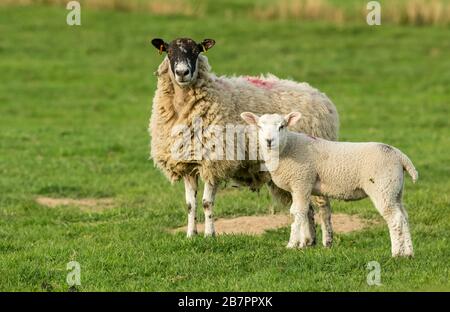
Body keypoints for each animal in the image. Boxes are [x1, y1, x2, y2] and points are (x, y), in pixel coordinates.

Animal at [149, 37, 340, 244]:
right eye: (169, 52)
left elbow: (207, 203)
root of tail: (321, 97)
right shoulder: (188, 165)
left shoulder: (214, 161)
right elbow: (190, 204)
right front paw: (191, 235)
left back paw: (326, 242)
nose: (182, 72)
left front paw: (209, 235)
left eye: (196, 51)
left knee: (323, 205)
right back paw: (308, 241)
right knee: (306, 208)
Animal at [243, 111, 418, 258]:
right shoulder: (298, 186)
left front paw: (292, 245)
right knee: (404, 216)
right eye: (259, 127)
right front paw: (302, 243)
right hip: (395, 189)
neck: (287, 148)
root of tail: (400, 156)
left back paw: (396, 253)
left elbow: (298, 212)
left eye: (282, 126)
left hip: (382, 187)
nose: (269, 141)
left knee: (395, 218)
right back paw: (409, 253)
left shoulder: (302, 181)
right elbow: (302, 212)